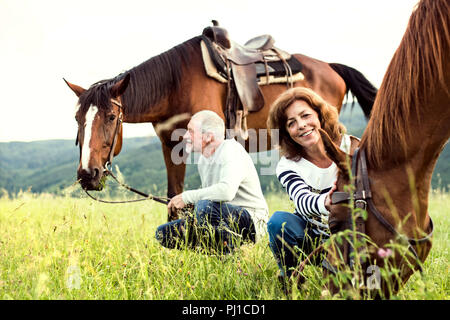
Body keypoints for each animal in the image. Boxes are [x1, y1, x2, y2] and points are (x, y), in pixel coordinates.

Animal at [63, 26, 376, 218]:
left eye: (111, 117)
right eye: (77, 119)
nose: (87, 174)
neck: (176, 84)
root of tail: (331, 67)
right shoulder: (170, 145)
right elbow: (174, 197)